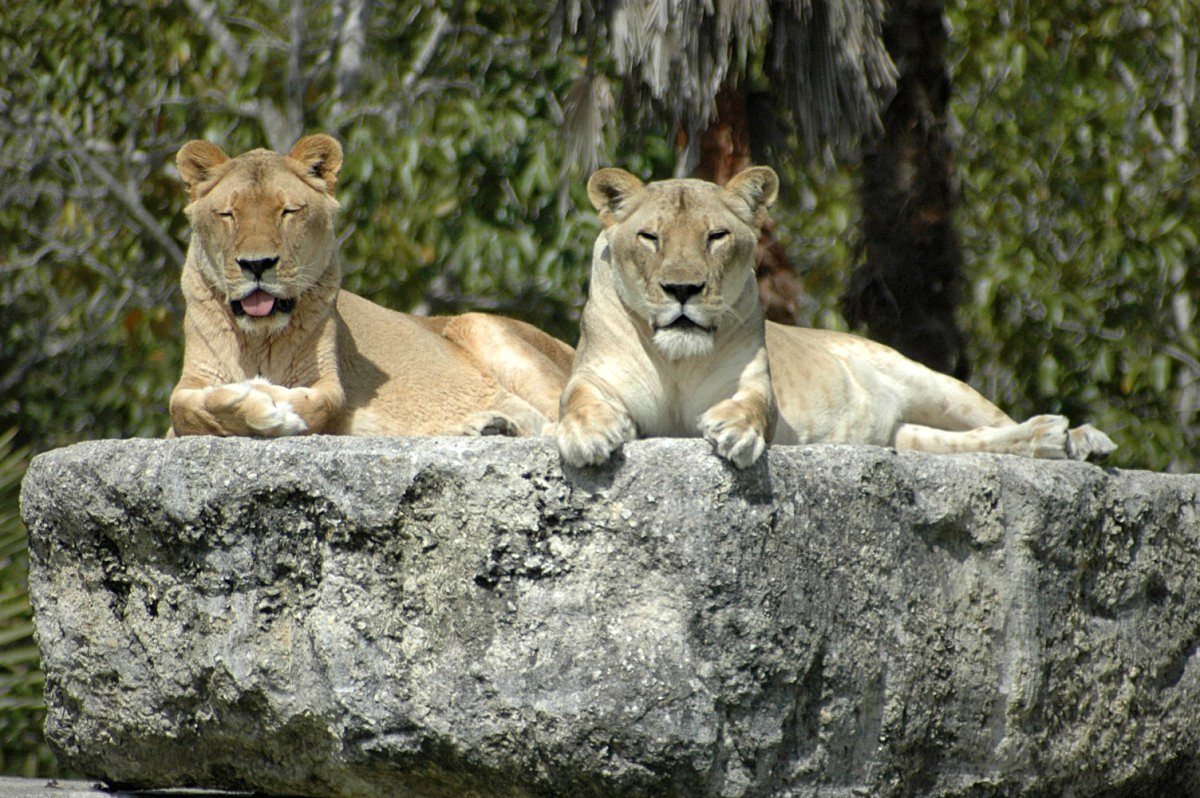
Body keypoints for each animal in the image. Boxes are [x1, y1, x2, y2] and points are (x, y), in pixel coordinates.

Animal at [170, 134, 573, 438]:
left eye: (288, 212)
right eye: (228, 214)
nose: (257, 265)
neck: (258, 339)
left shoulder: (330, 386)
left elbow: (317, 404)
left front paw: (268, 398)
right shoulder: (186, 394)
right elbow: (185, 410)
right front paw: (249, 398)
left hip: (475, 323)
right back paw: (491, 425)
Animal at [554, 166, 1116, 468]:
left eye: (716, 236)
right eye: (650, 237)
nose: (683, 290)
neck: (676, 361)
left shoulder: (755, 383)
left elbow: (753, 405)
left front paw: (733, 431)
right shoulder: (592, 376)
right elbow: (576, 401)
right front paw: (586, 436)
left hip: (928, 381)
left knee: (993, 419)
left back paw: (1075, 438)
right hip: (905, 436)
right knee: (963, 443)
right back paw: (1049, 440)